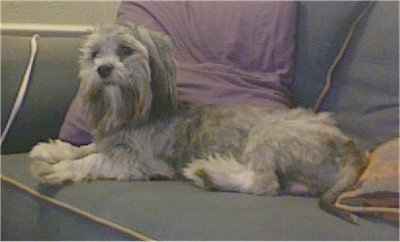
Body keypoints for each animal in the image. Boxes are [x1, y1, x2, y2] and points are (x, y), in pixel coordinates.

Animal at [30, 23, 366, 223]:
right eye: (95, 54)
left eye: (125, 50)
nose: (103, 69)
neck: (131, 114)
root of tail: (351, 147)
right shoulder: (111, 143)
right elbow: (86, 148)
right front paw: (54, 151)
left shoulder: (142, 162)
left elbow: (95, 159)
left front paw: (60, 168)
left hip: (268, 134)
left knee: (264, 183)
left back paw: (209, 172)